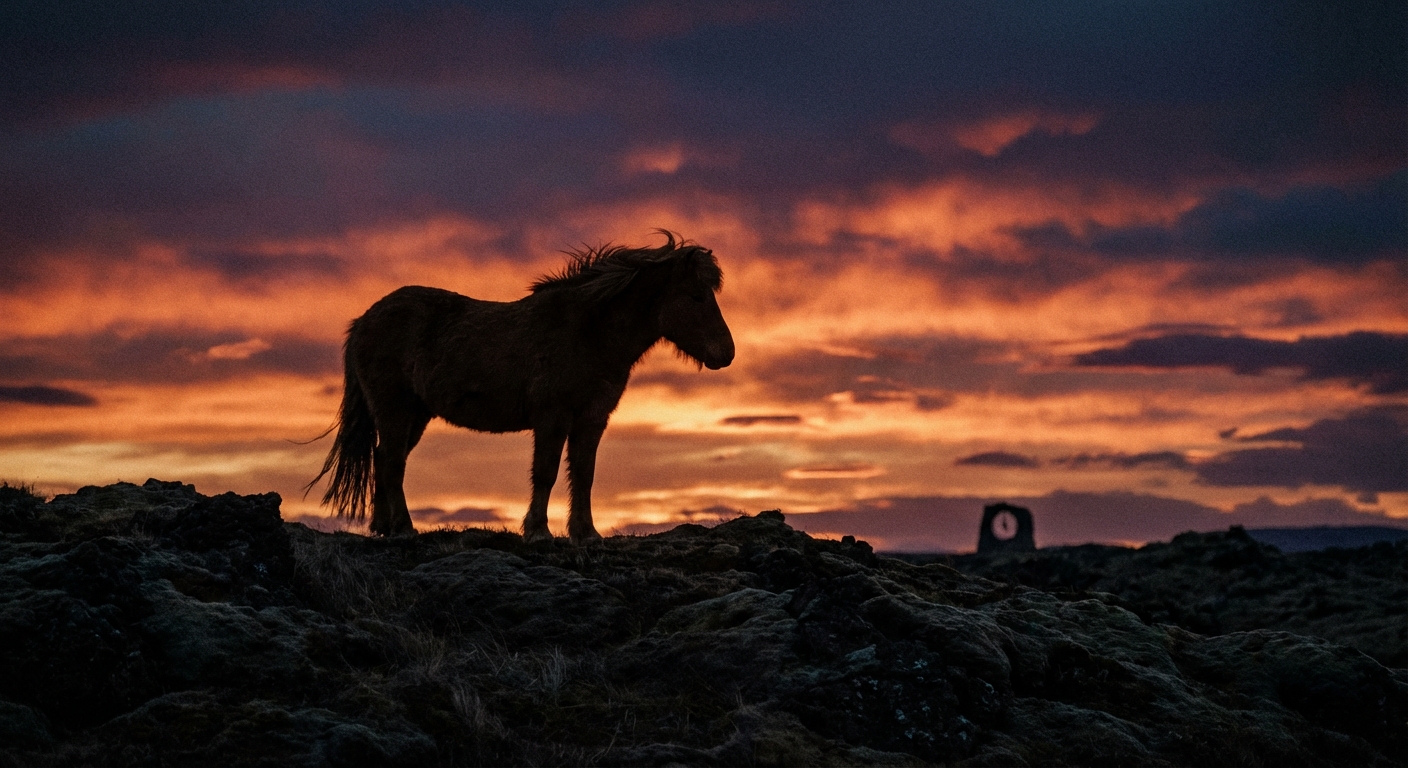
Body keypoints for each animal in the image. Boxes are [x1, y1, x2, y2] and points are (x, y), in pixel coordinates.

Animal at [307, 232, 734, 542]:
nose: (726, 353)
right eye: (696, 296)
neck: (588, 331)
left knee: (384, 459)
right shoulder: (553, 417)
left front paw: (586, 534)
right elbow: (545, 472)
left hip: (415, 415)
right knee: (392, 461)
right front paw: (538, 532)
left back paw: (385, 528)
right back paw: (405, 529)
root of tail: (364, 320)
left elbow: (584, 473)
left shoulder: (592, 419)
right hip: (395, 410)